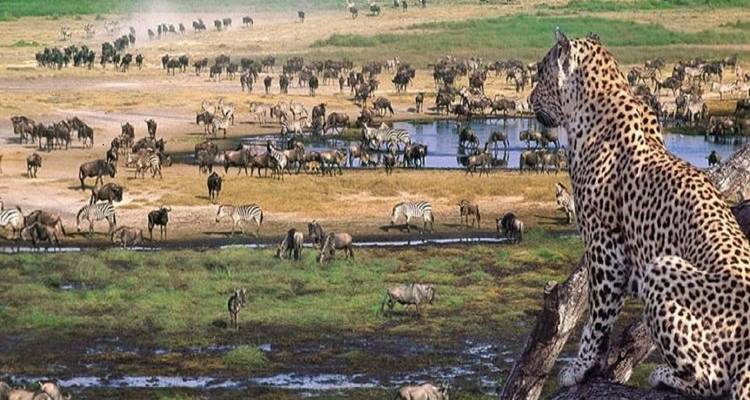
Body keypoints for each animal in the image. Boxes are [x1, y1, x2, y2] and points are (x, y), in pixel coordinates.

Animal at [529, 29, 750, 399]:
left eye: (541, 74)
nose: (530, 99)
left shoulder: (605, 248)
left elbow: (598, 317)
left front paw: (580, 368)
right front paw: (595, 366)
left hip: (662, 268)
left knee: (714, 379)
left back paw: (664, 375)